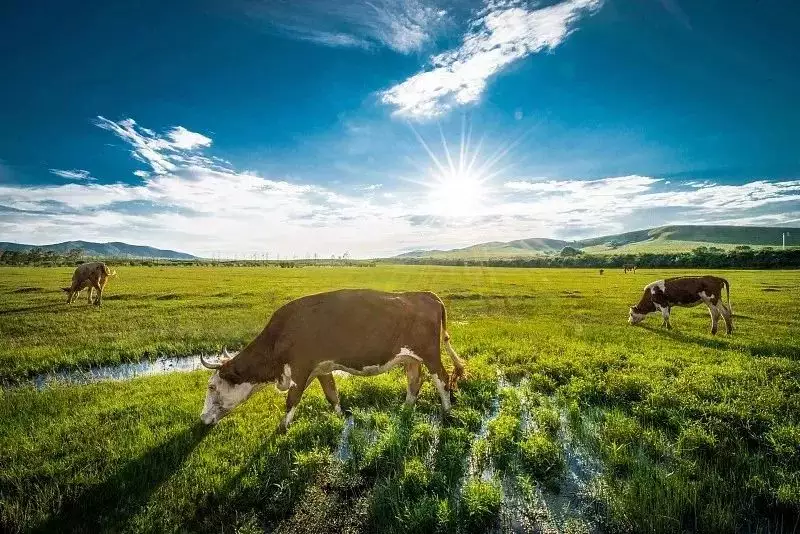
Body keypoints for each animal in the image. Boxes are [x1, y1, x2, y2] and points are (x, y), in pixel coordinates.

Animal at [196, 288, 466, 432]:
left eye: (211, 386)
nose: (202, 419)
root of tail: (426, 294)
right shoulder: (322, 369)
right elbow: (331, 394)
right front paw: (339, 417)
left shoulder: (300, 370)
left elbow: (291, 401)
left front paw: (282, 428)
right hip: (410, 358)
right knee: (414, 381)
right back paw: (406, 408)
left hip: (430, 354)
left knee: (442, 379)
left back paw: (447, 411)